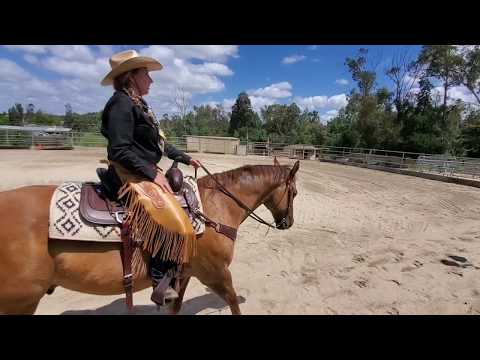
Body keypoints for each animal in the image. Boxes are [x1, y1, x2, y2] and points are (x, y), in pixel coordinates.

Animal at [0, 158, 300, 316]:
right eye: (294, 193)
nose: (288, 223)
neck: (215, 207)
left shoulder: (184, 274)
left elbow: (175, 307)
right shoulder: (216, 273)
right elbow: (234, 303)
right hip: (21, 301)